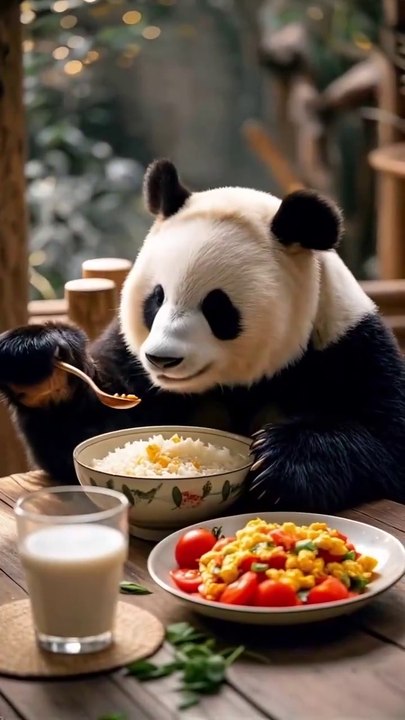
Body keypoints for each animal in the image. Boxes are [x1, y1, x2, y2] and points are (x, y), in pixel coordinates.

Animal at [1, 158, 405, 512]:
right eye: (156, 298)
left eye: (217, 308)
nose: (161, 359)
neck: (236, 384)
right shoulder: (131, 362)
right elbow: (82, 432)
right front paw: (38, 363)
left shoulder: (349, 349)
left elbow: (386, 441)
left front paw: (280, 465)